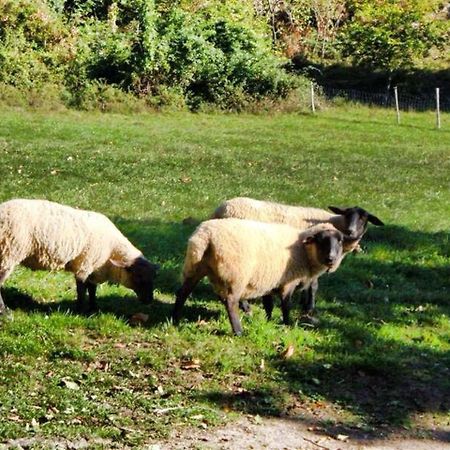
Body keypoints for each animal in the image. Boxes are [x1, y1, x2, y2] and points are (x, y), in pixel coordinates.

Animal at [0, 199, 158, 314]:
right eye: (138, 277)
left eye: (154, 278)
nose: (149, 300)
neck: (112, 250)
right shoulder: (84, 264)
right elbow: (82, 289)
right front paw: (80, 311)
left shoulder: (94, 268)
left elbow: (92, 289)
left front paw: (93, 308)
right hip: (9, 252)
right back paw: (5, 312)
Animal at [172, 218, 344, 334]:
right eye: (321, 240)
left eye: (340, 241)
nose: (331, 259)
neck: (304, 251)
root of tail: (205, 237)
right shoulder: (288, 283)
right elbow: (286, 305)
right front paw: (286, 324)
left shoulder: (269, 281)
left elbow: (269, 305)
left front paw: (268, 321)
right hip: (237, 274)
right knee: (231, 301)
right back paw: (238, 331)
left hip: (194, 267)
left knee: (182, 293)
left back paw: (175, 321)